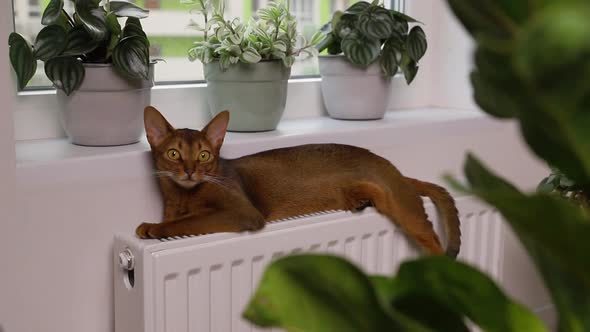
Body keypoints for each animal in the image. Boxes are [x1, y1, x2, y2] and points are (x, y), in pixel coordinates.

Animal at [138, 106, 462, 256]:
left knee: (433, 240)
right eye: (174, 153)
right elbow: (182, 219)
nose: (190, 171)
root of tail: (390, 166)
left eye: (204, 155)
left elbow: (187, 222)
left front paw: (152, 227)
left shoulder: (242, 212)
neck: (183, 196)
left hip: (402, 207)